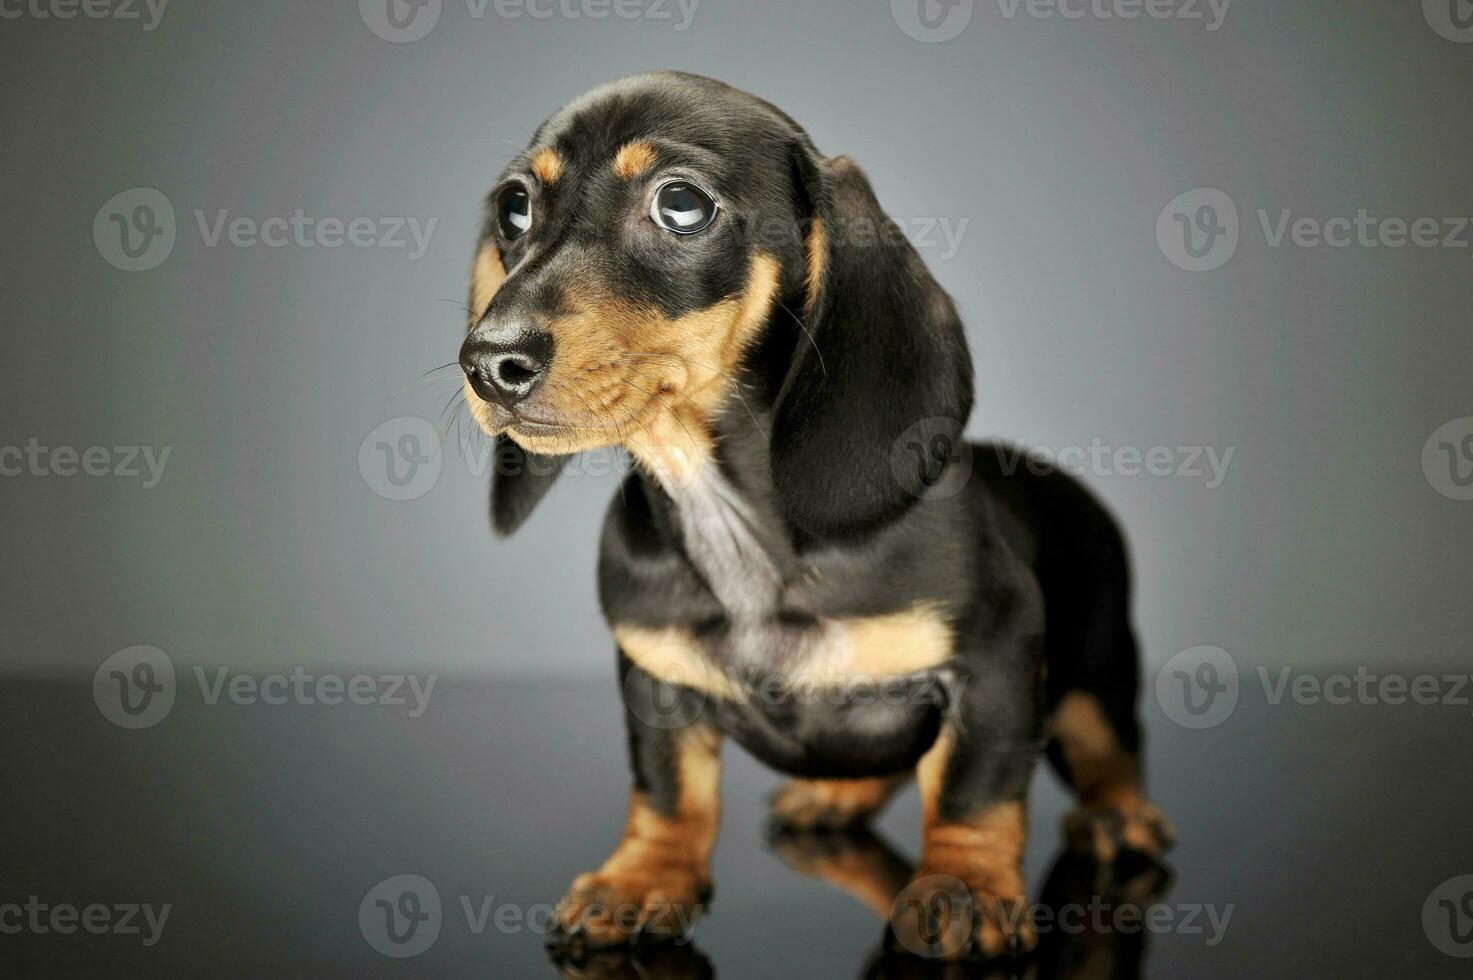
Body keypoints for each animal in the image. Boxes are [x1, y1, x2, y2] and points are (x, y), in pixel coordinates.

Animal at [459, 72, 1172, 960]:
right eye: (515, 207)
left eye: (681, 205)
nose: (488, 362)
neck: (732, 521)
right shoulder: (654, 679)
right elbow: (668, 792)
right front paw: (642, 878)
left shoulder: (995, 663)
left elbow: (972, 786)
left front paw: (965, 885)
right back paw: (834, 798)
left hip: (1098, 672)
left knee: (1109, 748)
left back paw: (1116, 815)